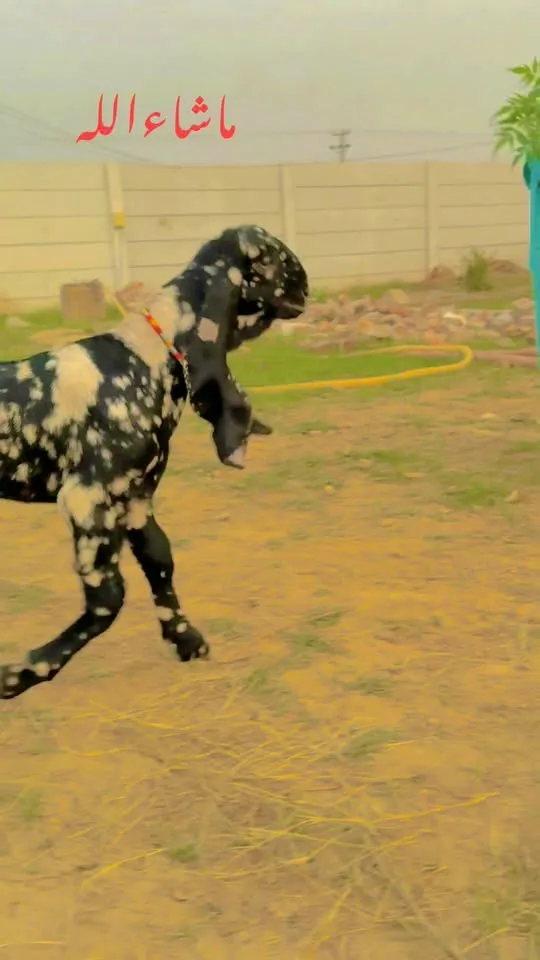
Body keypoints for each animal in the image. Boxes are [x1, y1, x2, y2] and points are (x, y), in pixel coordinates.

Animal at [0, 225, 308, 700]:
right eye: (280, 256)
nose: (308, 286)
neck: (145, 357)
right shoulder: (89, 500)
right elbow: (109, 599)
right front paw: (24, 672)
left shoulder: (136, 499)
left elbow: (160, 562)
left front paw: (185, 638)